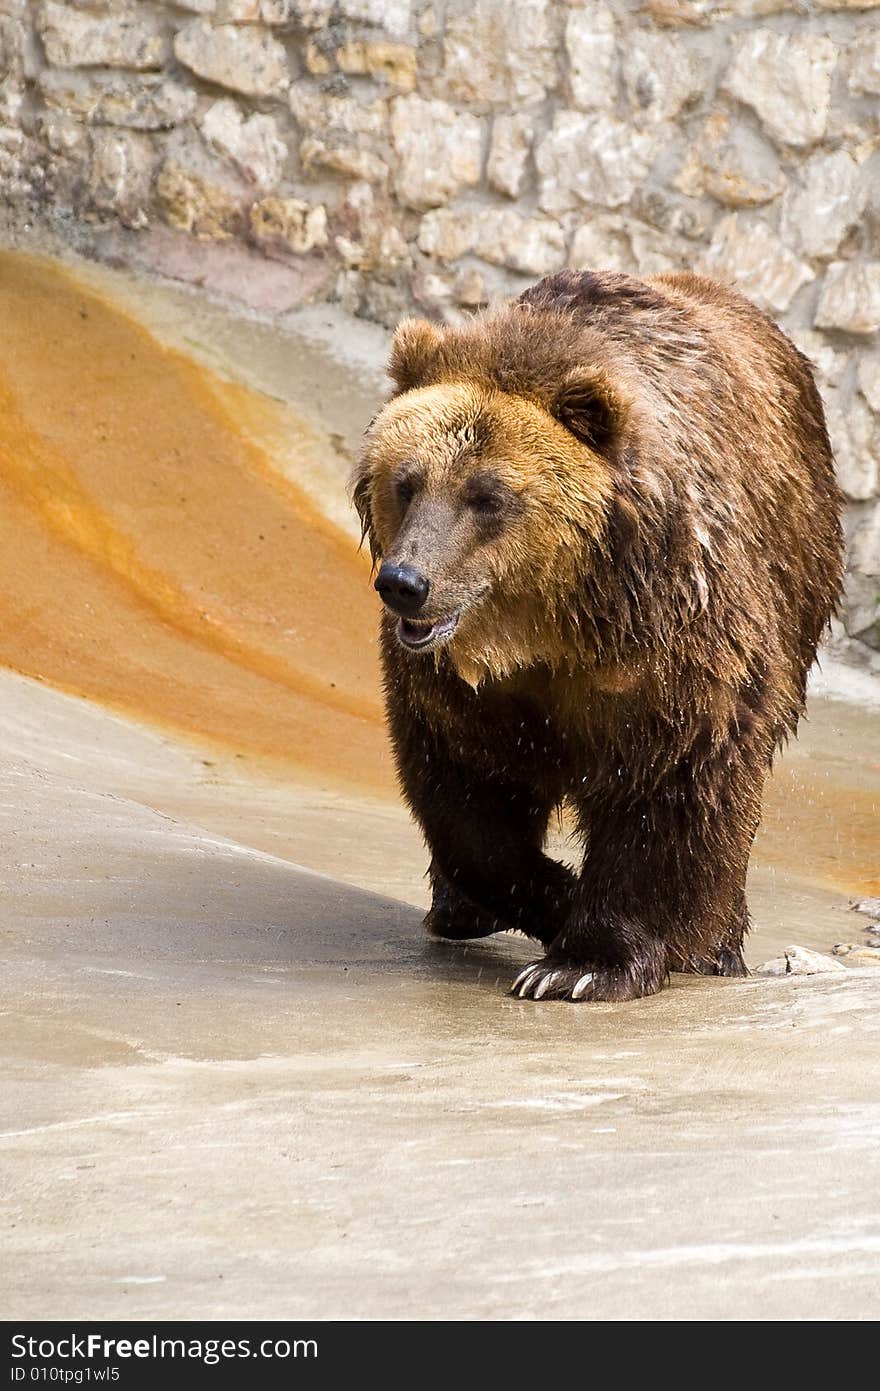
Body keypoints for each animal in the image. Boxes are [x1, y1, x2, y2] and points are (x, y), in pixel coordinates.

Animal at [346, 268, 839, 1001]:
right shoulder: (459, 688)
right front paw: (553, 901)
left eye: (488, 498)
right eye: (406, 482)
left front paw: (581, 965)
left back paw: (720, 944)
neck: (549, 626)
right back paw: (457, 910)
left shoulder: (674, 647)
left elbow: (673, 788)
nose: (406, 582)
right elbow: (466, 794)